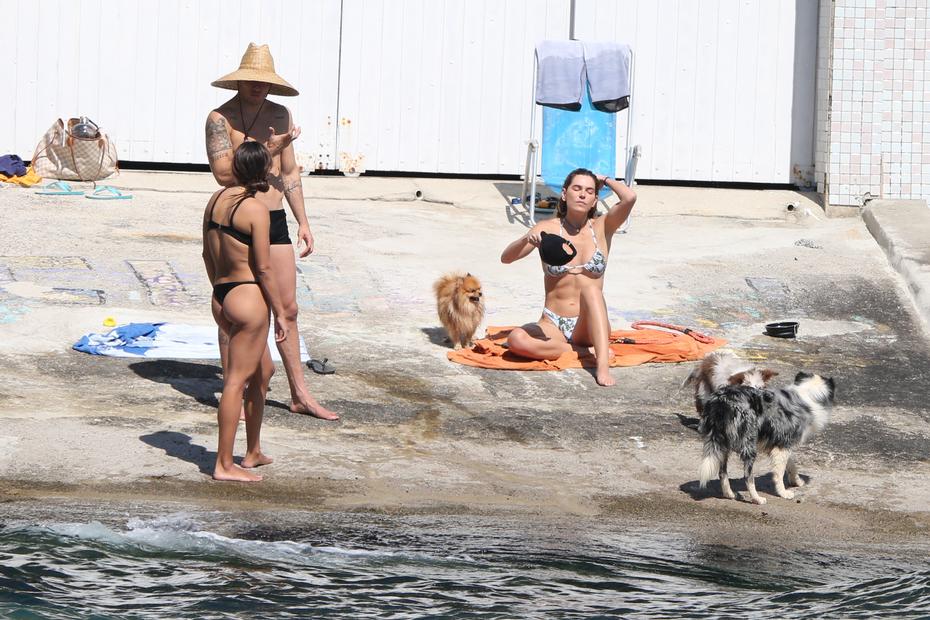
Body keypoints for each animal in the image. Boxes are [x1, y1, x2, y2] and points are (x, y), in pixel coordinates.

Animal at [696, 372, 832, 504]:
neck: (806, 393)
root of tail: (721, 404)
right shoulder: (783, 446)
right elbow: (779, 473)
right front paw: (783, 493)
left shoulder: (781, 445)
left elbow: (791, 464)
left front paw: (796, 481)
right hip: (749, 446)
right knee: (748, 477)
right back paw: (757, 499)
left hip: (722, 445)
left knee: (722, 472)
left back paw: (729, 494)